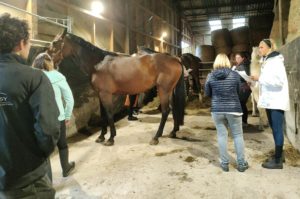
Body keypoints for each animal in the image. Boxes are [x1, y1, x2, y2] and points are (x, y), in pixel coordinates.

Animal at [51, 31, 185, 146]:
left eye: (55, 42)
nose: (49, 62)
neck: (98, 64)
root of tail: (175, 59)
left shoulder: (106, 94)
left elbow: (109, 113)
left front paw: (110, 138)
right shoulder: (100, 94)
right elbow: (103, 114)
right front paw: (101, 136)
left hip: (163, 90)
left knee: (165, 111)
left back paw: (156, 137)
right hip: (169, 90)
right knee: (174, 109)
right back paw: (173, 132)